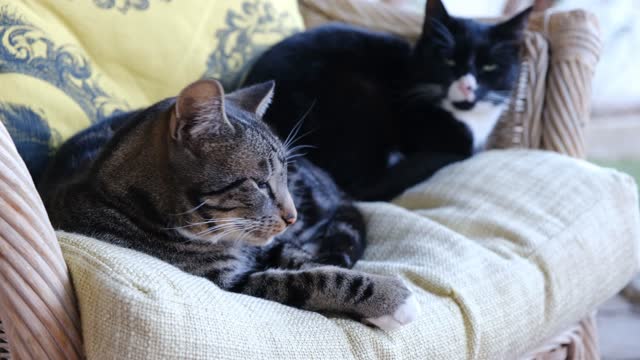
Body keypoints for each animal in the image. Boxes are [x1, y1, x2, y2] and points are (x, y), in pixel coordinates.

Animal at [38, 79, 420, 332]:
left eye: (284, 175)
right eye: (260, 183)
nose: (291, 215)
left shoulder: (270, 244)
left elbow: (307, 261)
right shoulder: (231, 284)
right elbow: (315, 279)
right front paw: (389, 297)